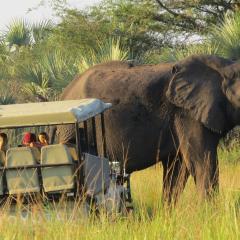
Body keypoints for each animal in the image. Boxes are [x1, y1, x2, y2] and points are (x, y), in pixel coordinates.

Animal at [55, 55, 240, 203]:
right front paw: (209, 214)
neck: (224, 67)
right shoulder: (187, 114)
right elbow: (202, 163)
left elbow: (177, 170)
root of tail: (64, 93)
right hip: (74, 129)